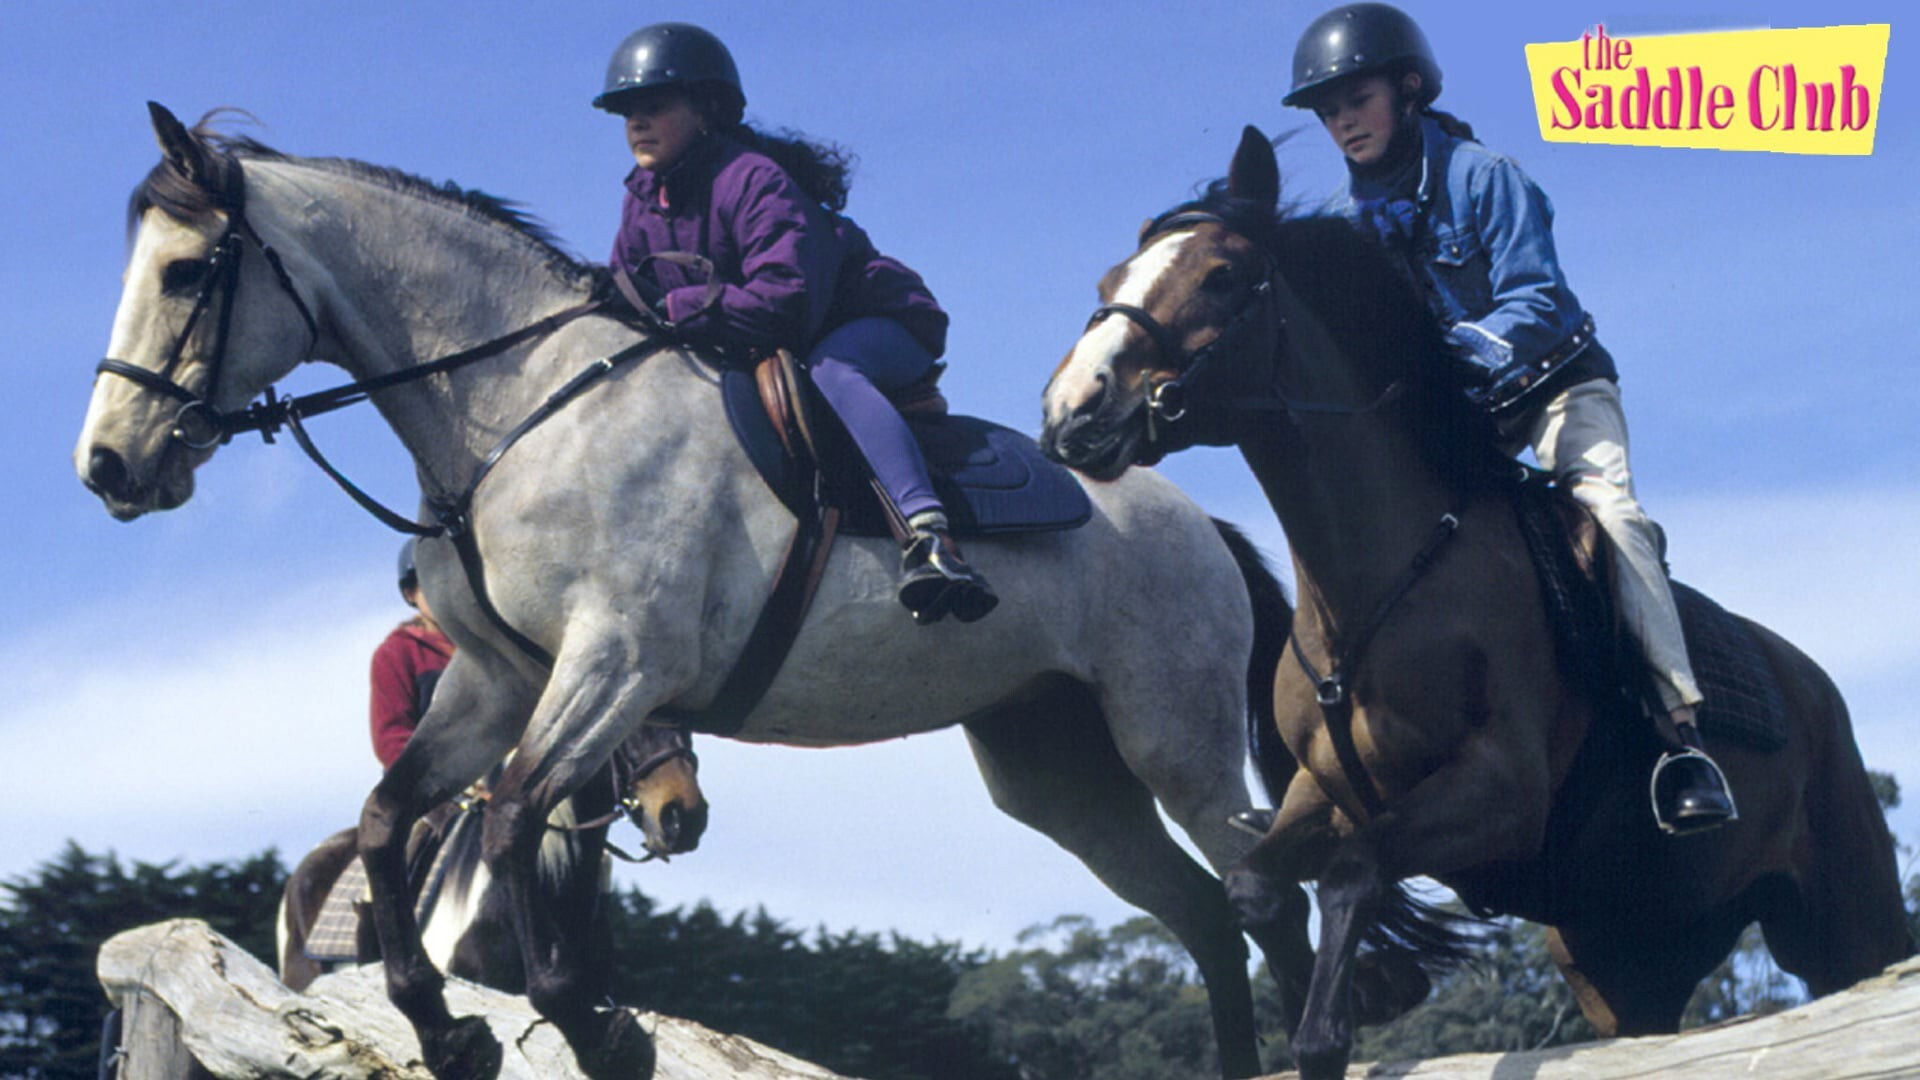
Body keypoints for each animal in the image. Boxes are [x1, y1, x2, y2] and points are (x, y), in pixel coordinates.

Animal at [1040, 126, 1915, 1079]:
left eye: (1222, 275)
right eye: (1107, 285)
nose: (1071, 413)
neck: (1377, 588)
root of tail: (1812, 685)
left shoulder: (1499, 789)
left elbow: (1353, 873)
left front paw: (1327, 1034)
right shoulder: (1321, 792)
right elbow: (1256, 884)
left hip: (1847, 919)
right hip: (1620, 961)